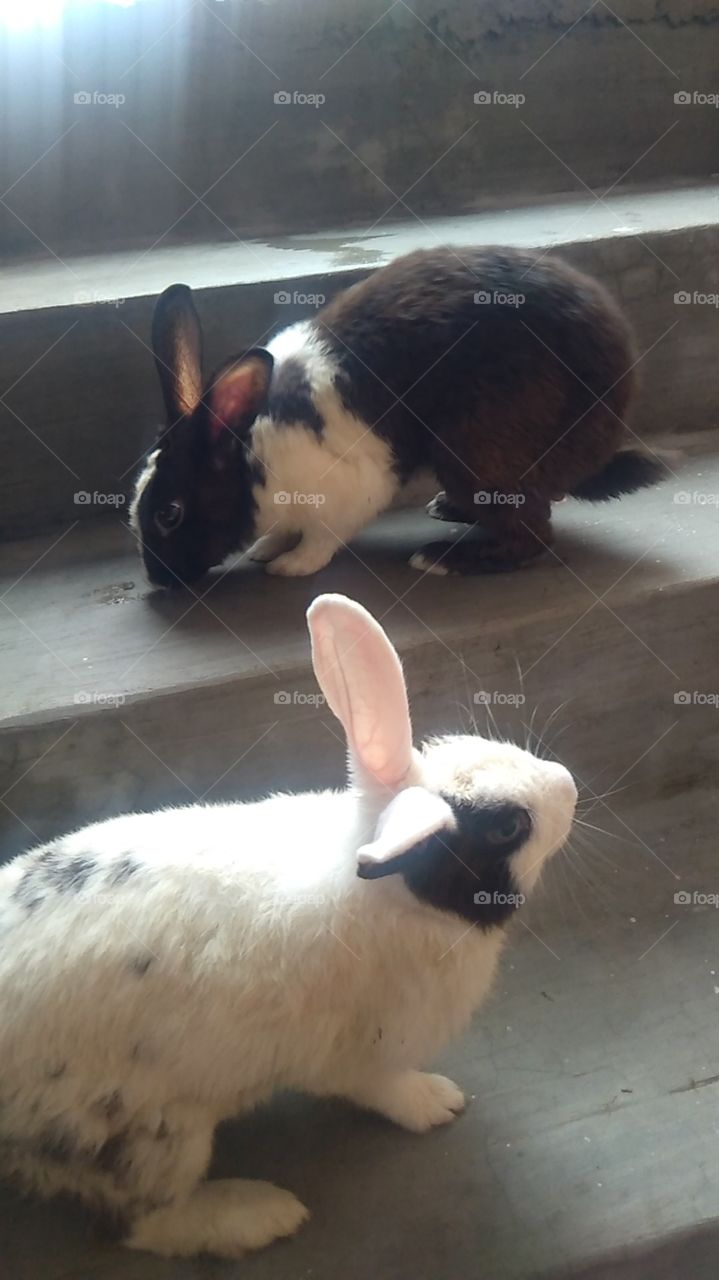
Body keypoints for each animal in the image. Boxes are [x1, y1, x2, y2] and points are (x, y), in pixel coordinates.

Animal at [0, 593, 577, 1258]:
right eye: (508, 827)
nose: (569, 782)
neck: (392, 897)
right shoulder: (361, 1051)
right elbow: (382, 1088)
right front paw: (437, 1102)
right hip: (139, 1131)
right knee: (146, 1222)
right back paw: (259, 1213)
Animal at [130, 246, 666, 587]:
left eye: (169, 514)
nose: (157, 579)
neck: (250, 456)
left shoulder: (346, 495)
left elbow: (322, 539)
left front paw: (290, 565)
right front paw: (266, 547)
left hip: (476, 451)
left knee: (533, 532)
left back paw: (443, 560)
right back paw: (448, 509)